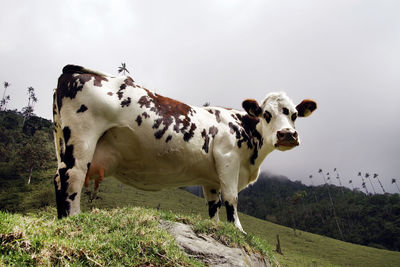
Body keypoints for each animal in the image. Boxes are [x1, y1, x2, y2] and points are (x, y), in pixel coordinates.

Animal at [53, 64, 318, 232]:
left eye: (295, 115)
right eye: (266, 114)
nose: (287, 135)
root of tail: (74, 69)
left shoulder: (211, 179)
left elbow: (213, 205)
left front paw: (216, 228)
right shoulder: (228, 158)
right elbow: (231, 198)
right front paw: (239, 231)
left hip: (63, 144)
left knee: (59, 179)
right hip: (82, 140)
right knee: (72, 177)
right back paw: (73, 219)